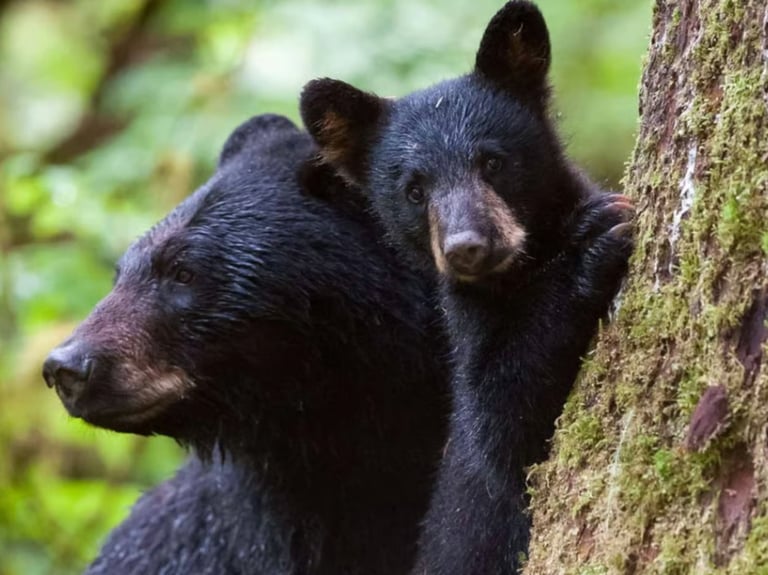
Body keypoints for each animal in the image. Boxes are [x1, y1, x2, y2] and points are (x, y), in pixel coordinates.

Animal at [300, 1, 634, 572]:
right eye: (414, 190)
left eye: (492, 161)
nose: (468, 247)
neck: (518, 272)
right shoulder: (471, 330)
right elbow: (504, 430)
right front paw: (589, 244)